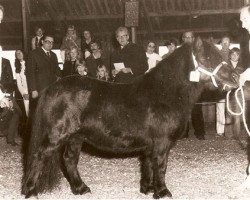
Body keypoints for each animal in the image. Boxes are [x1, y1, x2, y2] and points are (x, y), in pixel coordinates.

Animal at [21, 37, 238, 198]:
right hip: (57, 135)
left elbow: (148, 164)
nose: (235, 77)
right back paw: (30, 191)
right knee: (39, 156)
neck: (164, 92)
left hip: (76, 137)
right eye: (208, 58)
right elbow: (161, 165)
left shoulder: (150, 144)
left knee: (69, 160)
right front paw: (163, 192)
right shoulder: (161, 142)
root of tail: (52, 88)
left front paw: (147, 189)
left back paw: (81, 189)